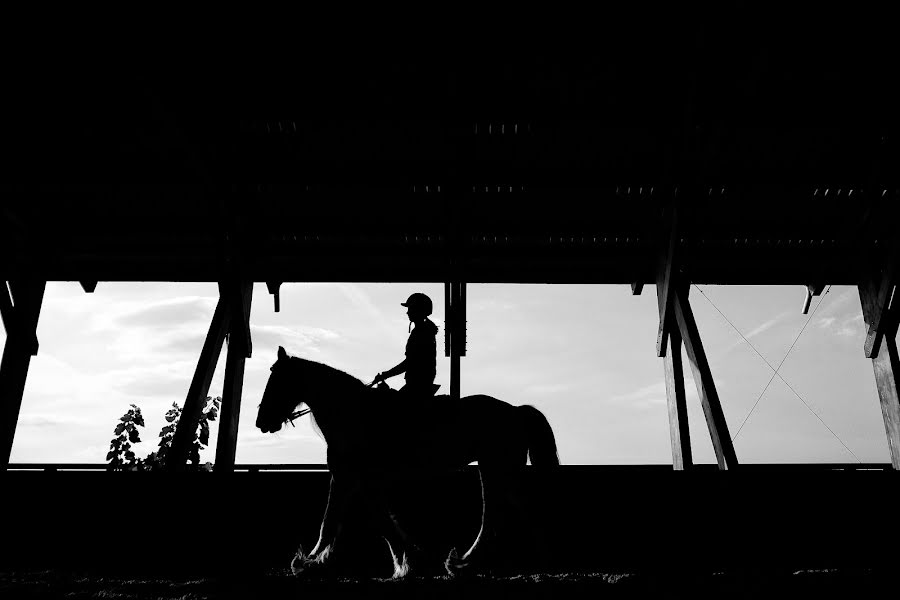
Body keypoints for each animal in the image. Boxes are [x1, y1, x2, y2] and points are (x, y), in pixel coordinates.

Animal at [256, 350, 560, 580]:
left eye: (276, 380)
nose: (261, 422)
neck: (353, 414)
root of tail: (516, 411)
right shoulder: (360, 481)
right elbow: (379, 521)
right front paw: (409, 561)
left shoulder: (349, 478)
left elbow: (332, 522)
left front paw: (305, 563)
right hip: (499, 470)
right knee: (518, 509)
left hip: (496, 468)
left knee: (496, 516)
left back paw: (466, 563)